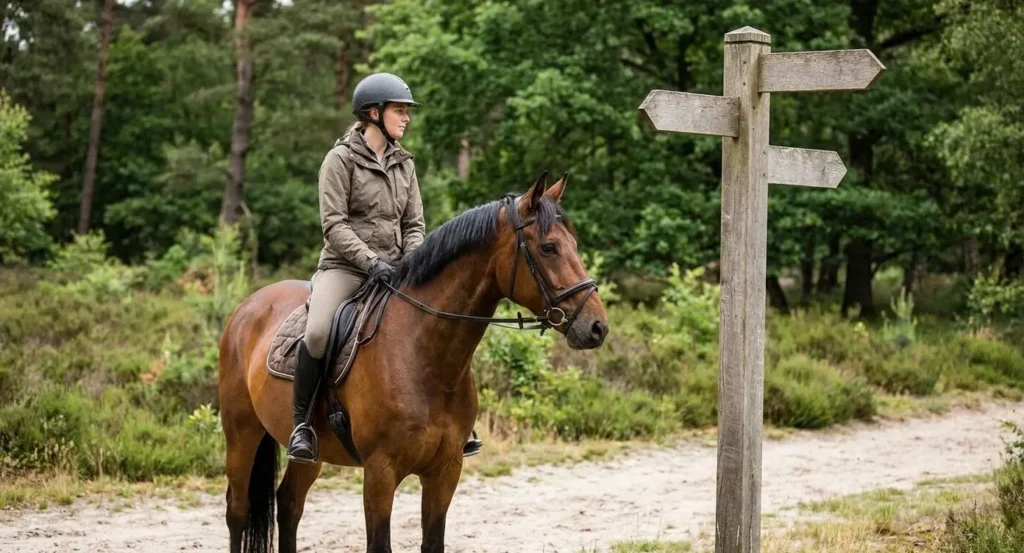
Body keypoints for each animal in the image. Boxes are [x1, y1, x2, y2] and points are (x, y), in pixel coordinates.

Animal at [217, 171, 609, 553]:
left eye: (573, 244)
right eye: (549, 247)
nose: (597, 327)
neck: (424, 358)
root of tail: (247, 307)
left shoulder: (445, 471)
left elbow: (433, 541)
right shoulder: (380, 472)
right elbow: (380, 543)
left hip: (311, 453)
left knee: (289, 504)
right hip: (241, 435)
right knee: (238, 511)